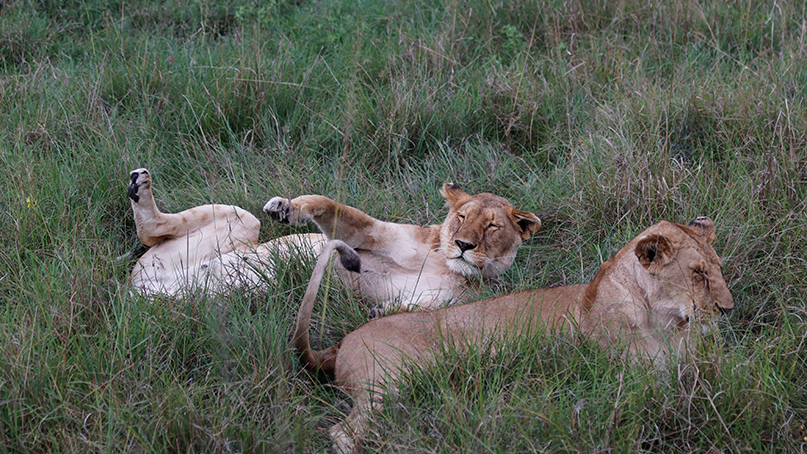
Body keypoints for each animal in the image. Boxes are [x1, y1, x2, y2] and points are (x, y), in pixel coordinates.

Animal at [263, 185, 540, 313]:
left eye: (492, 226)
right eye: (462, 217)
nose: (463, 244)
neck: (448, 269)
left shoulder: (449, 302)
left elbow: (416, 309)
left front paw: (382, 311)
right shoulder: (367, 234)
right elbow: (332, 205)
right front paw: (285, 208)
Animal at [293, 217, 734, 453]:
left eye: (717, 268)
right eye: (698, 273)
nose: (727, 310)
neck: (670, 324)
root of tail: (338, 344)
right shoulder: (641, 379)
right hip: (388, 383)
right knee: (343, 433)